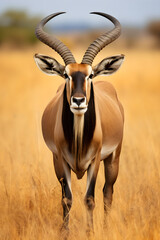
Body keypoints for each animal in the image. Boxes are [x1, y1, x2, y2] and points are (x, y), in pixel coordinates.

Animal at [34, 12, 124, 233]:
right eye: (66, 74)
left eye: (90, 74)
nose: (78, 101)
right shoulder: (60, 160)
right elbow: (66, 199)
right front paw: (64, 233)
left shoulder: (95, 160)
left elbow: (90, 198)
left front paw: (90, 232)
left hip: (113, 160)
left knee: (108, 192)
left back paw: (106, 227)